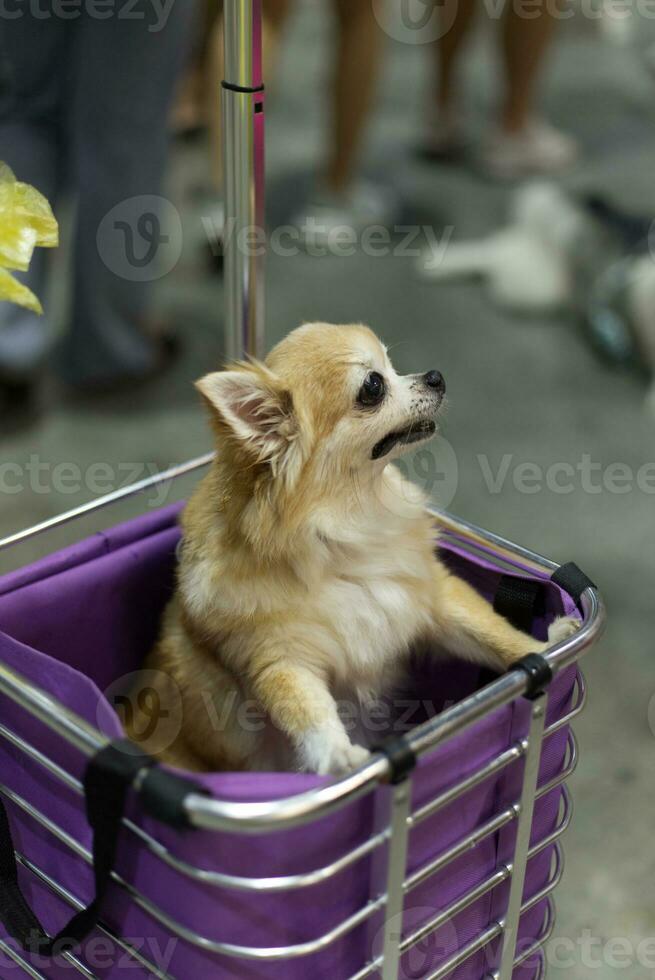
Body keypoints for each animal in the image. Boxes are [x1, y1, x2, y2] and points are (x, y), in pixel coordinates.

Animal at [127, 326, 576, 776]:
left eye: (392, 365)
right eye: (373, 386)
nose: (435, 376)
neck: (347, 526)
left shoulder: (430, 596)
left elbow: (489, 630)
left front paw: (544, 648)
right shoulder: (279, 658)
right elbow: (306, 707)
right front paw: (337, 753)